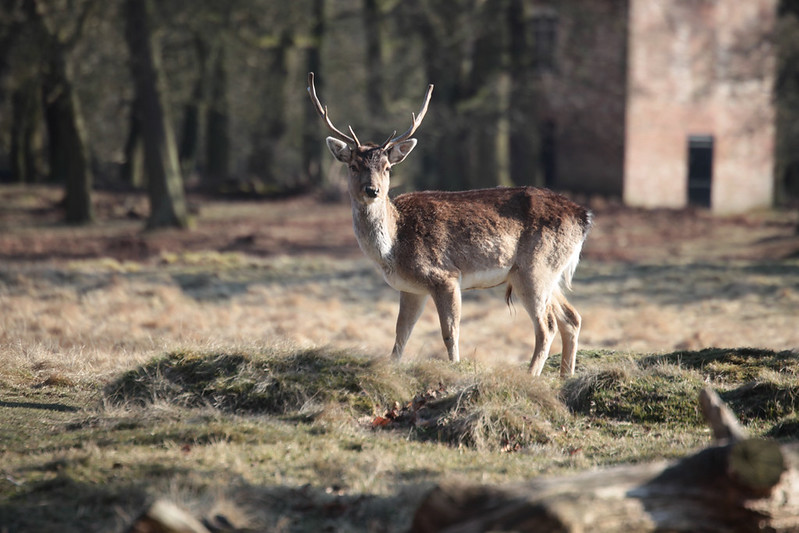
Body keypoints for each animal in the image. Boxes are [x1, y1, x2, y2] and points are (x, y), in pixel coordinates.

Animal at [308, 72, 592, 376]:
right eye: (353, 166)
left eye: (387, 168)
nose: (372, 190)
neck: (393, 248)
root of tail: (583, 216)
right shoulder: (410, 288)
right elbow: (401, 335)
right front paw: (391, 369)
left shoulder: (445, 275)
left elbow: (450, 333)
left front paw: (454, 368)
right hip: (549, 273)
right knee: (572, 317)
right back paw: (565, 376)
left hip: (535, 269)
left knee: (546, 326)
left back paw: (529, 376)